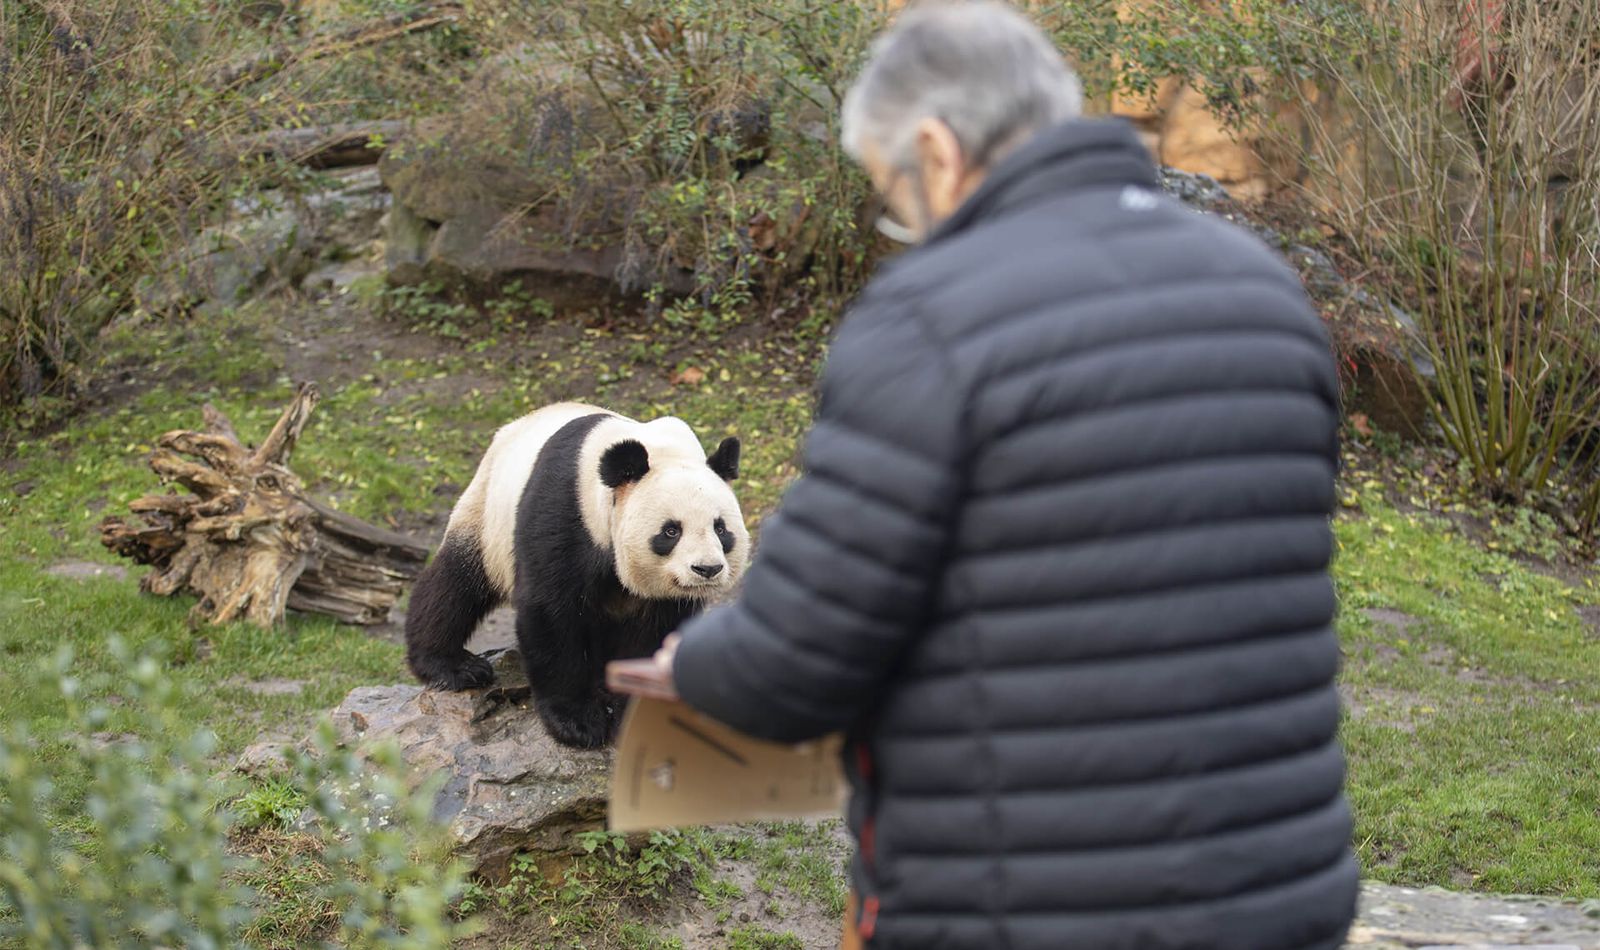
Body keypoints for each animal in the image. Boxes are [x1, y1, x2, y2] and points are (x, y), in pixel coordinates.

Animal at [404, 401, 750, 749]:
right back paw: (454, 666)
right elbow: (550, 611)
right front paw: (578, 721)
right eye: (671, 531)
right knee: (455, 585)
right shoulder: (566, 510)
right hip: (487, 515)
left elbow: (658, 629)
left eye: (721, 529)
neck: (661, 451)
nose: (707, 569)